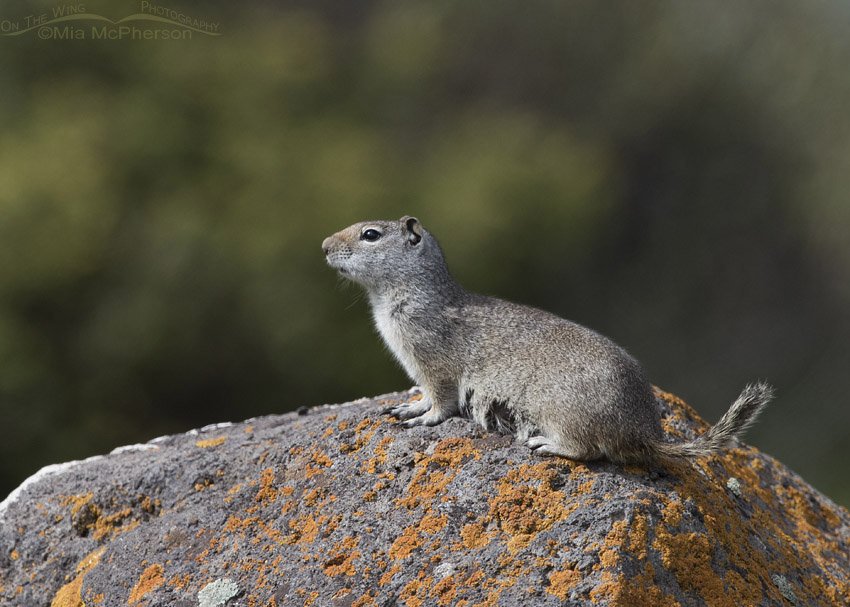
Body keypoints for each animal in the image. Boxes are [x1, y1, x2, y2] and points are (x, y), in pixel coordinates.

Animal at [322, 215, 774, 465]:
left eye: (370, 234)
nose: (324, 245)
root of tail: (643, 434)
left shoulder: (435, 365)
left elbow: (441, 403)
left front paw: (421, 417)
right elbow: (424, 395)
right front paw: (408, 405)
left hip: (562, 414)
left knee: (588, 450)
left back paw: (545, 444)